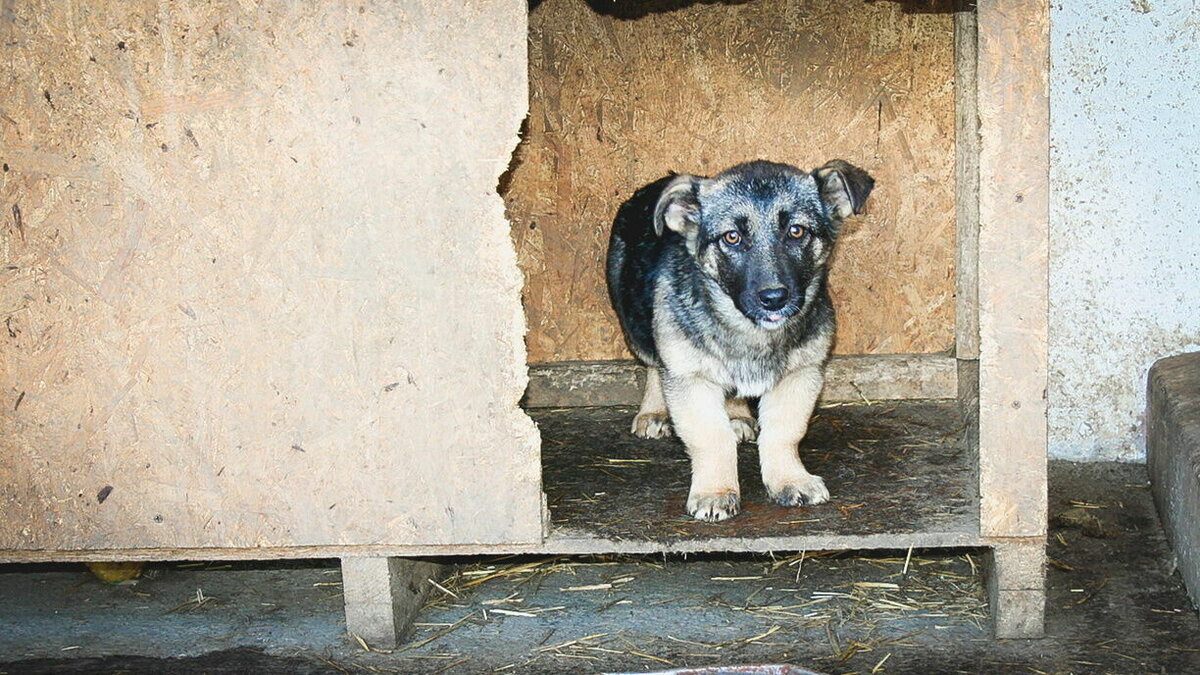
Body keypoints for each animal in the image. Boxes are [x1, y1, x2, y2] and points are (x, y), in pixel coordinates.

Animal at [609, 157, 873, 521]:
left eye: (796, 231)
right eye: (732, 237)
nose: (774, 298)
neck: (750, 330)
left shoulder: (801, 374)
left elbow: (784, 433)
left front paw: (790, 479)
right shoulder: (690, 378)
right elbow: (711, 437)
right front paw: (715, 491)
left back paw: (736, 415)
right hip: (633, 316)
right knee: (653, 362)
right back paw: (653, 410)